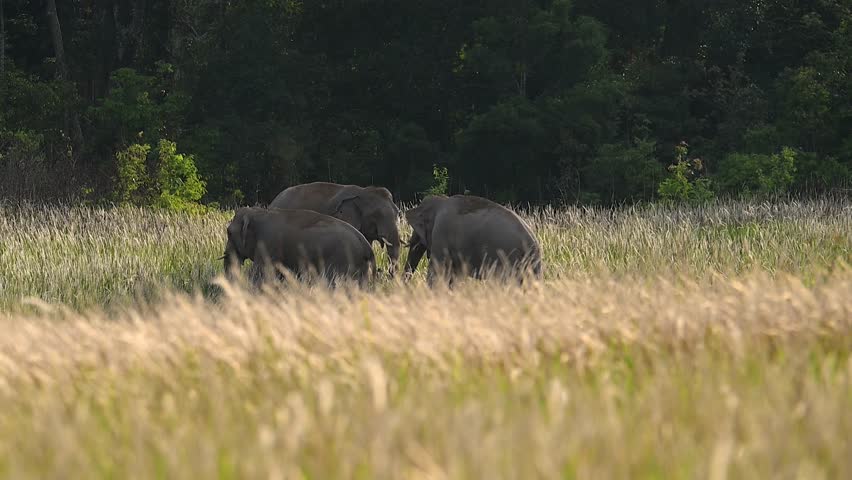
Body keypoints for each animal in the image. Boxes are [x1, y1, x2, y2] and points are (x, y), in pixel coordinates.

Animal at [223, 207, 376, 287]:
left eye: (229, 232)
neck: (259, 212)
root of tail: (367, 246)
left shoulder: (268, 244)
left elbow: (262, 274)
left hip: (341, 260)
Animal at [404, 195, 542, 284]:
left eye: (418, 229)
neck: (441, 200)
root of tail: (533, 243)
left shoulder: (441, 232)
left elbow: (437, 272)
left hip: (509, 259)